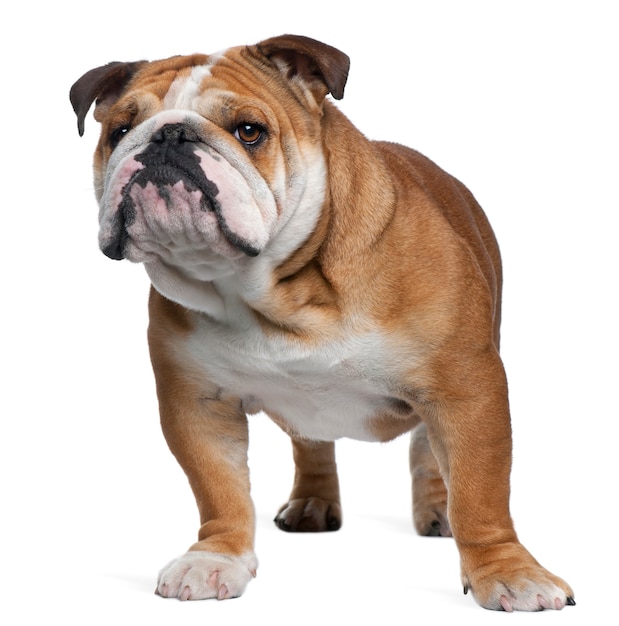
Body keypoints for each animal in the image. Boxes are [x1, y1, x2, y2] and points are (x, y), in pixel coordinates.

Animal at [71, 33, 576, 608]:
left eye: (249, 130)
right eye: (119, 131)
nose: (169, 136)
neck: (276, 292)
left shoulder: (466, 391)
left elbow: (481, 494)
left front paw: (509, 572)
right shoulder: (197, 402)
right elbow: (219, 490)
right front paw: (215, 559)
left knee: (428, 452)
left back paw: (435, 510)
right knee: (312, 444)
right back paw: (312, 503)